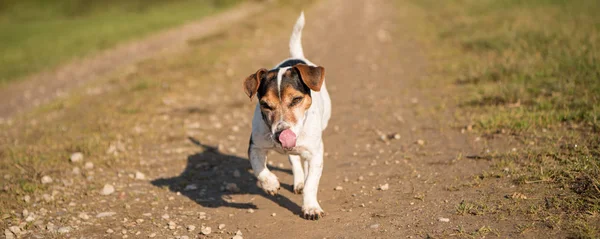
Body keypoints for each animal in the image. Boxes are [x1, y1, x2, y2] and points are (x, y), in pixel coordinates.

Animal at [241, 12, 330, 219]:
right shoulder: (255, 146)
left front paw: (311, 207)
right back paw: (298, 180)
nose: (281, 133)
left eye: (296, 99)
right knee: (294, 160)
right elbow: (259, 169)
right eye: (265, 105)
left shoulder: (316, 153)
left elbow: (312, 183)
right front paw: (270, 184)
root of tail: (295, 57)